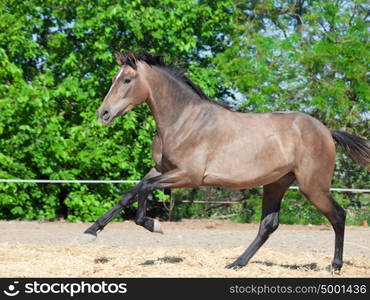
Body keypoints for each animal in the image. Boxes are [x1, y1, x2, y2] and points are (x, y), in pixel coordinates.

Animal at [81, 50, 370, 274]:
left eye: (127, 80)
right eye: (114, 79)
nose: (103, 113)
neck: (182, 120)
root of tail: (326, 131)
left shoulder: (188, 175)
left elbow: (140, 189)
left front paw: (151, 225)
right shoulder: (161, 170)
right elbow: (132, 193)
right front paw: (94, 230)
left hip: (313, 187)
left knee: (338, 215)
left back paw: (335, 266)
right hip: (276, 184)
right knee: (268, 225)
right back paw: (236, 264)